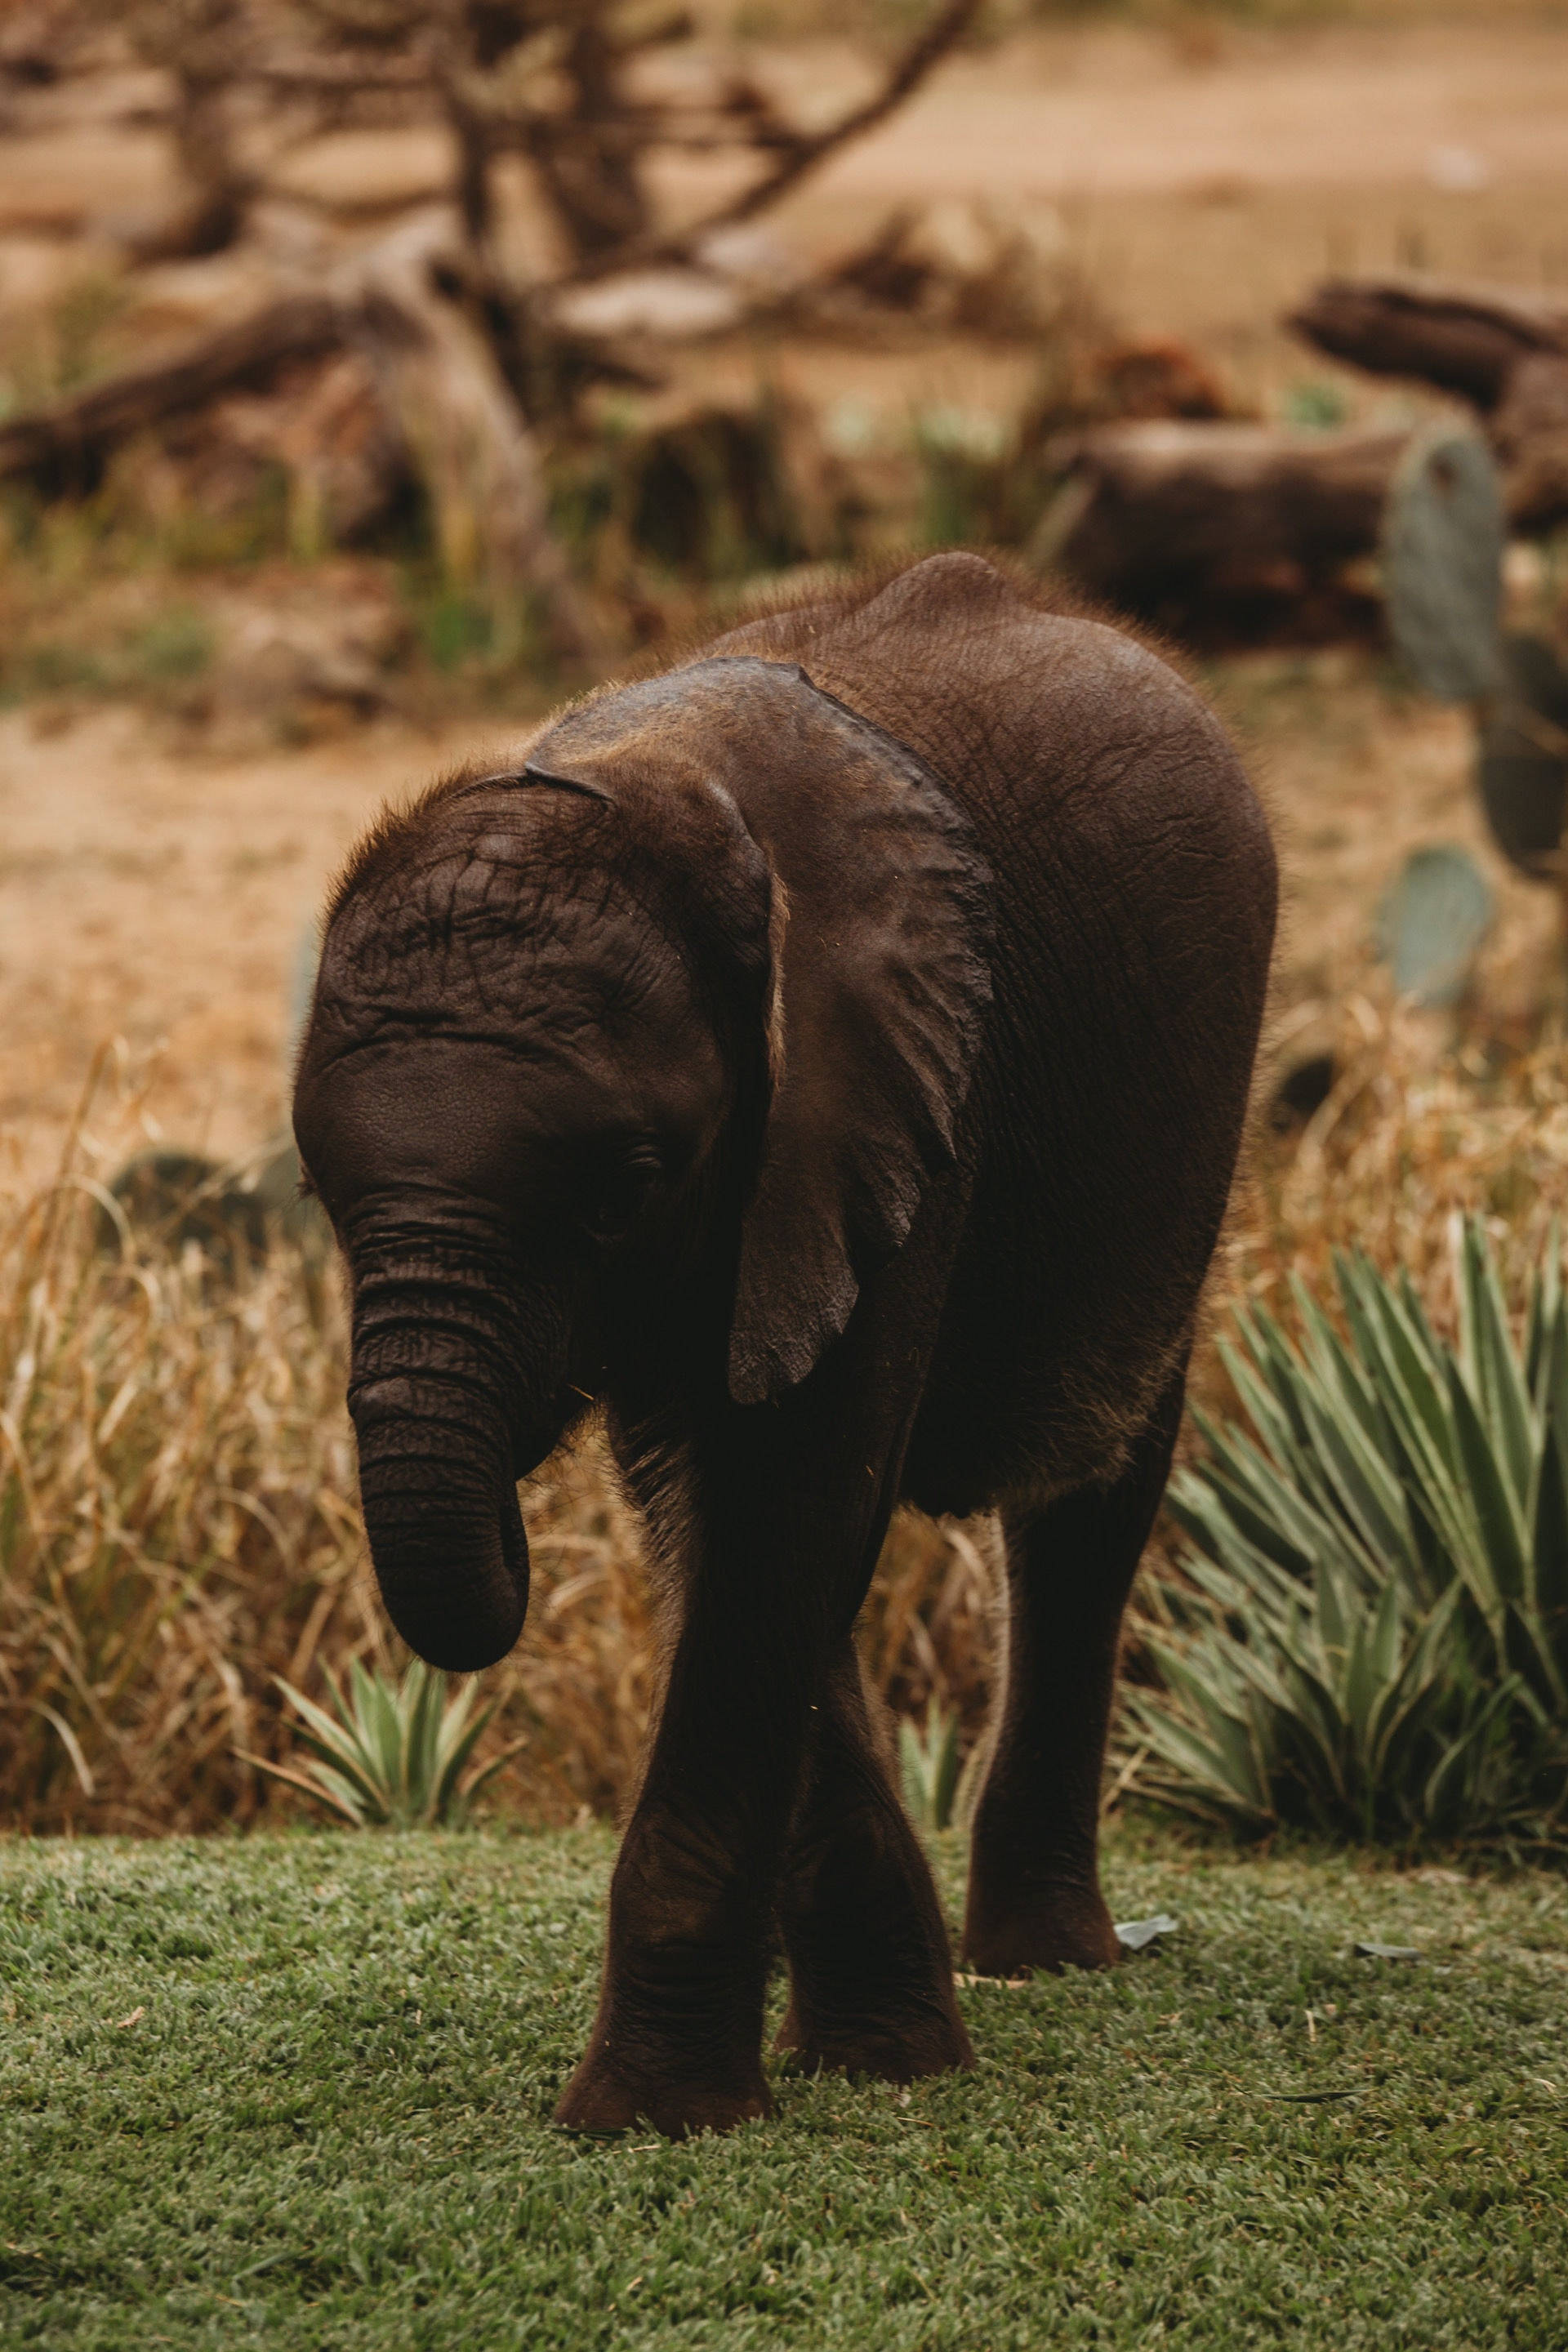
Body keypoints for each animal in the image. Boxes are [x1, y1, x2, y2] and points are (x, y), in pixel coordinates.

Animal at [292, 551, 1277, 2139]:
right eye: (322, 1196)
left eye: (623, 1188)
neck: (647, 782)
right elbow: (727, 1528)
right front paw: (878, 2054)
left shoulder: (898, 1095)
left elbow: (788, 1503)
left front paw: (652, 2118)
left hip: (1188, 1120)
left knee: (1089, 1495)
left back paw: (1051, 1961)